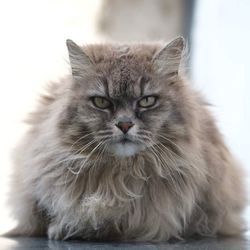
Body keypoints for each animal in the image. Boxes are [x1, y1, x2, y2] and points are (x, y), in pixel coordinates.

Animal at [5, 37, 246, 242]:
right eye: (101, 102)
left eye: (147, 101)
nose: (124, 125)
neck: (119, 176)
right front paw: (61, 228)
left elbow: (115, 225)